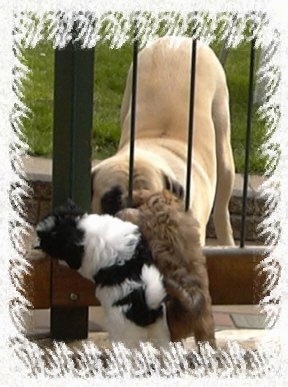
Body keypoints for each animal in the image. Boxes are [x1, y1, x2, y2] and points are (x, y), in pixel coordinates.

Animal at [36, 203, 171, 348]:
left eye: (51, 240)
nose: (37, 241)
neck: (81, 229)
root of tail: (148, 306)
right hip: (159, 331)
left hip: (125, 332)